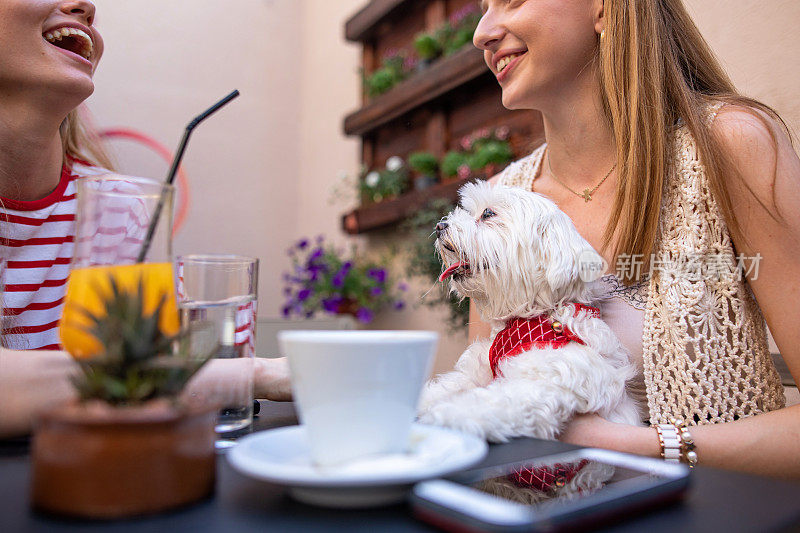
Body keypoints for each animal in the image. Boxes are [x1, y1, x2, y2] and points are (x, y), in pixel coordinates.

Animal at [416, 181, 640, 442]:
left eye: (488, 213)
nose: (439, 226)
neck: (535, 316)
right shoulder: (477, 372)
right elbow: (448, 386)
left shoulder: (545, 381)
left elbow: (491, 403)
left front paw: (446, 416)